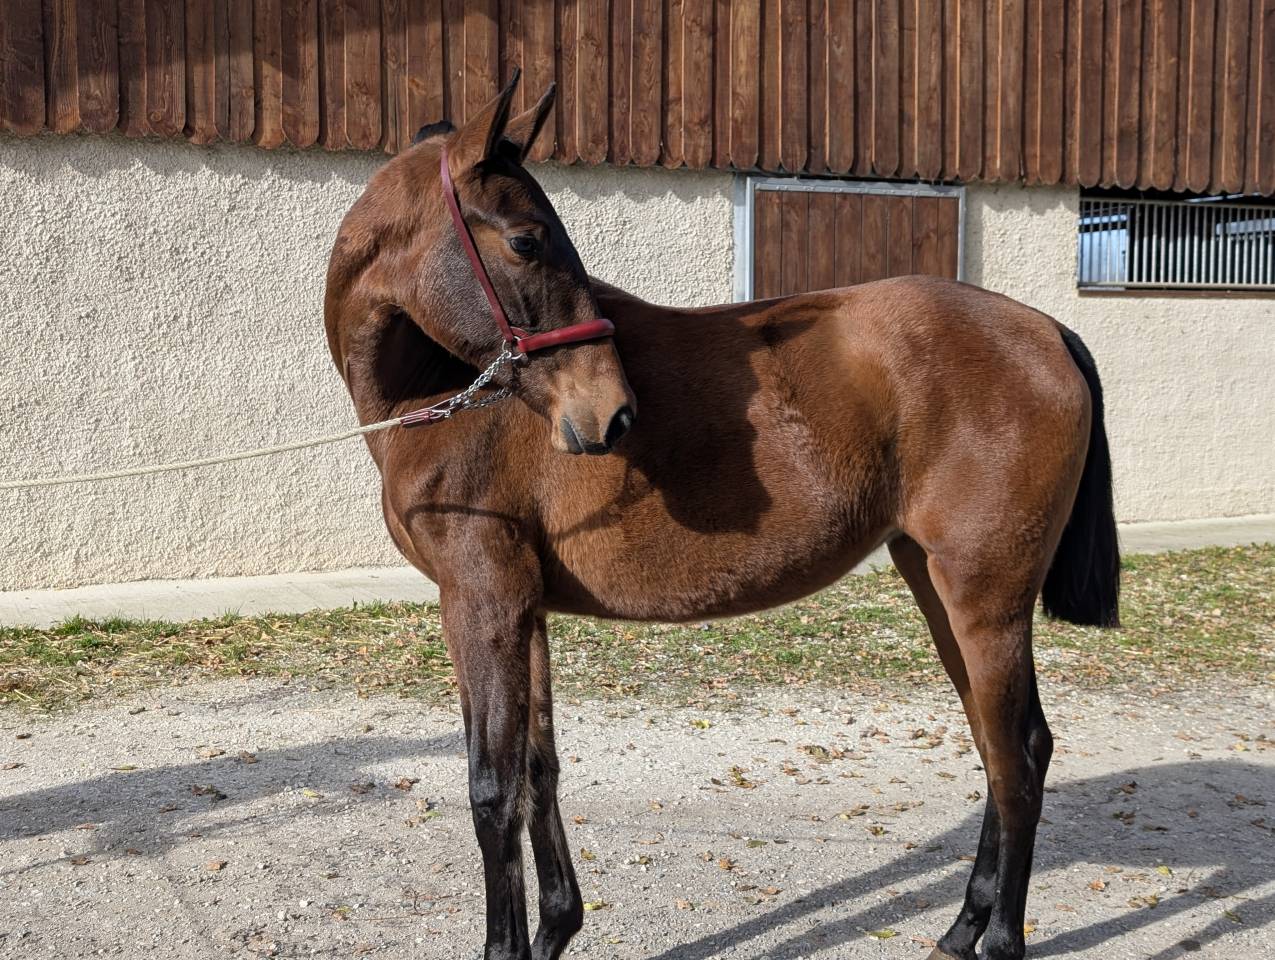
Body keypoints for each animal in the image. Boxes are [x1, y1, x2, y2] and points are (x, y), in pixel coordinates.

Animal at [324, 70, 1120, 960]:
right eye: (528, 241)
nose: (612, 414)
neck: (443, 393)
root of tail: (1045, 329)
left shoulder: (481, 603)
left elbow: (490, 790)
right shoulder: (518, 609)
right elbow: (537, 769)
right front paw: (558, 925)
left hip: (987, 602)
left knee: (1016, 756)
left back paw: (1001, 936)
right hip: (936, 585)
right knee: (996, 743)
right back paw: (961, 925)